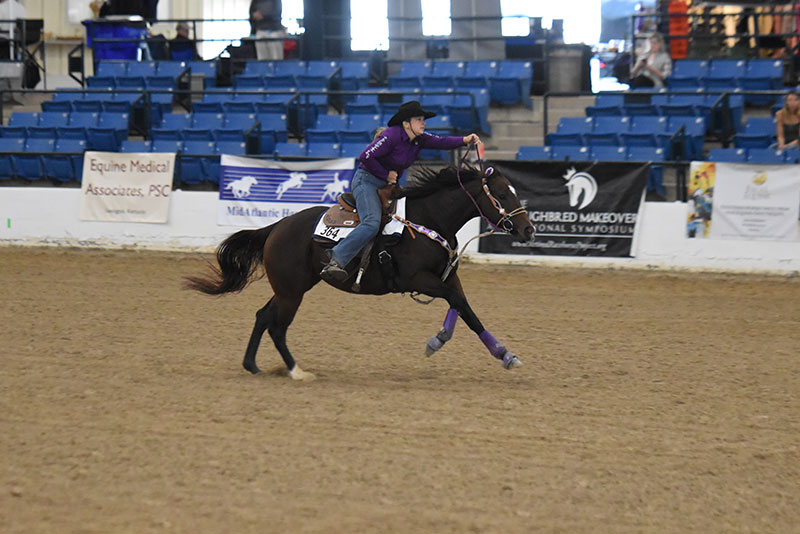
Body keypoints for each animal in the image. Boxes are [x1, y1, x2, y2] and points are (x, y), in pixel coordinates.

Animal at [184, 163, 536, 382]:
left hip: (290, 288)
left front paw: (494, 352)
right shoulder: (420, 280)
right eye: (501, 194)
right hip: (292, 292)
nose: (528, 230)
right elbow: (460, 304)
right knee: (277, 327)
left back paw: (253, 366)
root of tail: (276, 227)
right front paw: (497, 352)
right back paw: (297, 371)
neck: (429, 220)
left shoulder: (448, 276)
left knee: (262, 316)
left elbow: (463, 308)